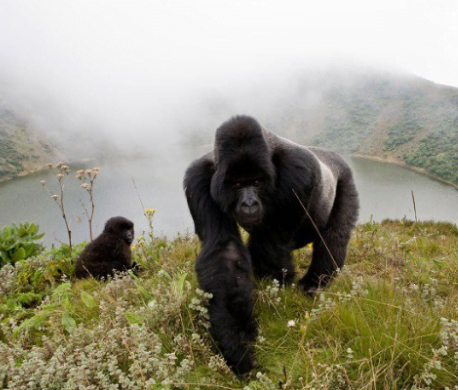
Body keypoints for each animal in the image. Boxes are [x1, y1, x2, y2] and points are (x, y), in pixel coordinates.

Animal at [184, 114, 360, 374]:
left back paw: (313, 284)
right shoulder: (199, 179)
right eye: (237, 185)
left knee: (333, 238)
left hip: (345, 176)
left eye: (256, 182)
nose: (249, 204)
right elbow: (224, 253)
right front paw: (238, 346)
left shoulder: (297, 171)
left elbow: (270, 250)